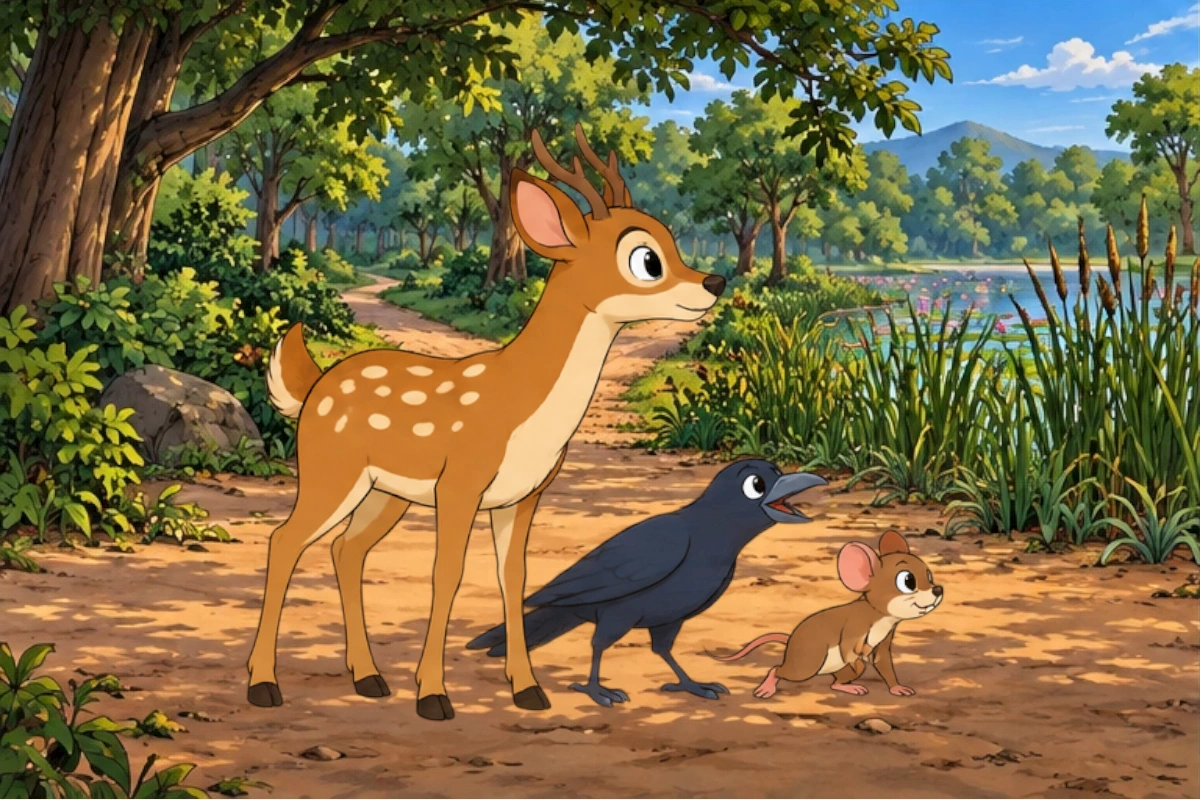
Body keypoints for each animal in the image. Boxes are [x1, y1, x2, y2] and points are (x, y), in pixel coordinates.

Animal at [246, 124, 727, 721]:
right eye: (646, 259)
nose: (716, 281)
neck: (521, 404)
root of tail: (314, 386)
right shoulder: (460, 482)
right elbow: (446, 574)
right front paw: (434, 696)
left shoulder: (525, 493)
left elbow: (513, 577)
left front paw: (528, 690)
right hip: (330, 469)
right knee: (284, 541)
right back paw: (264, 685)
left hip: (386, 492)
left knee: (345, 550)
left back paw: (369, 679)